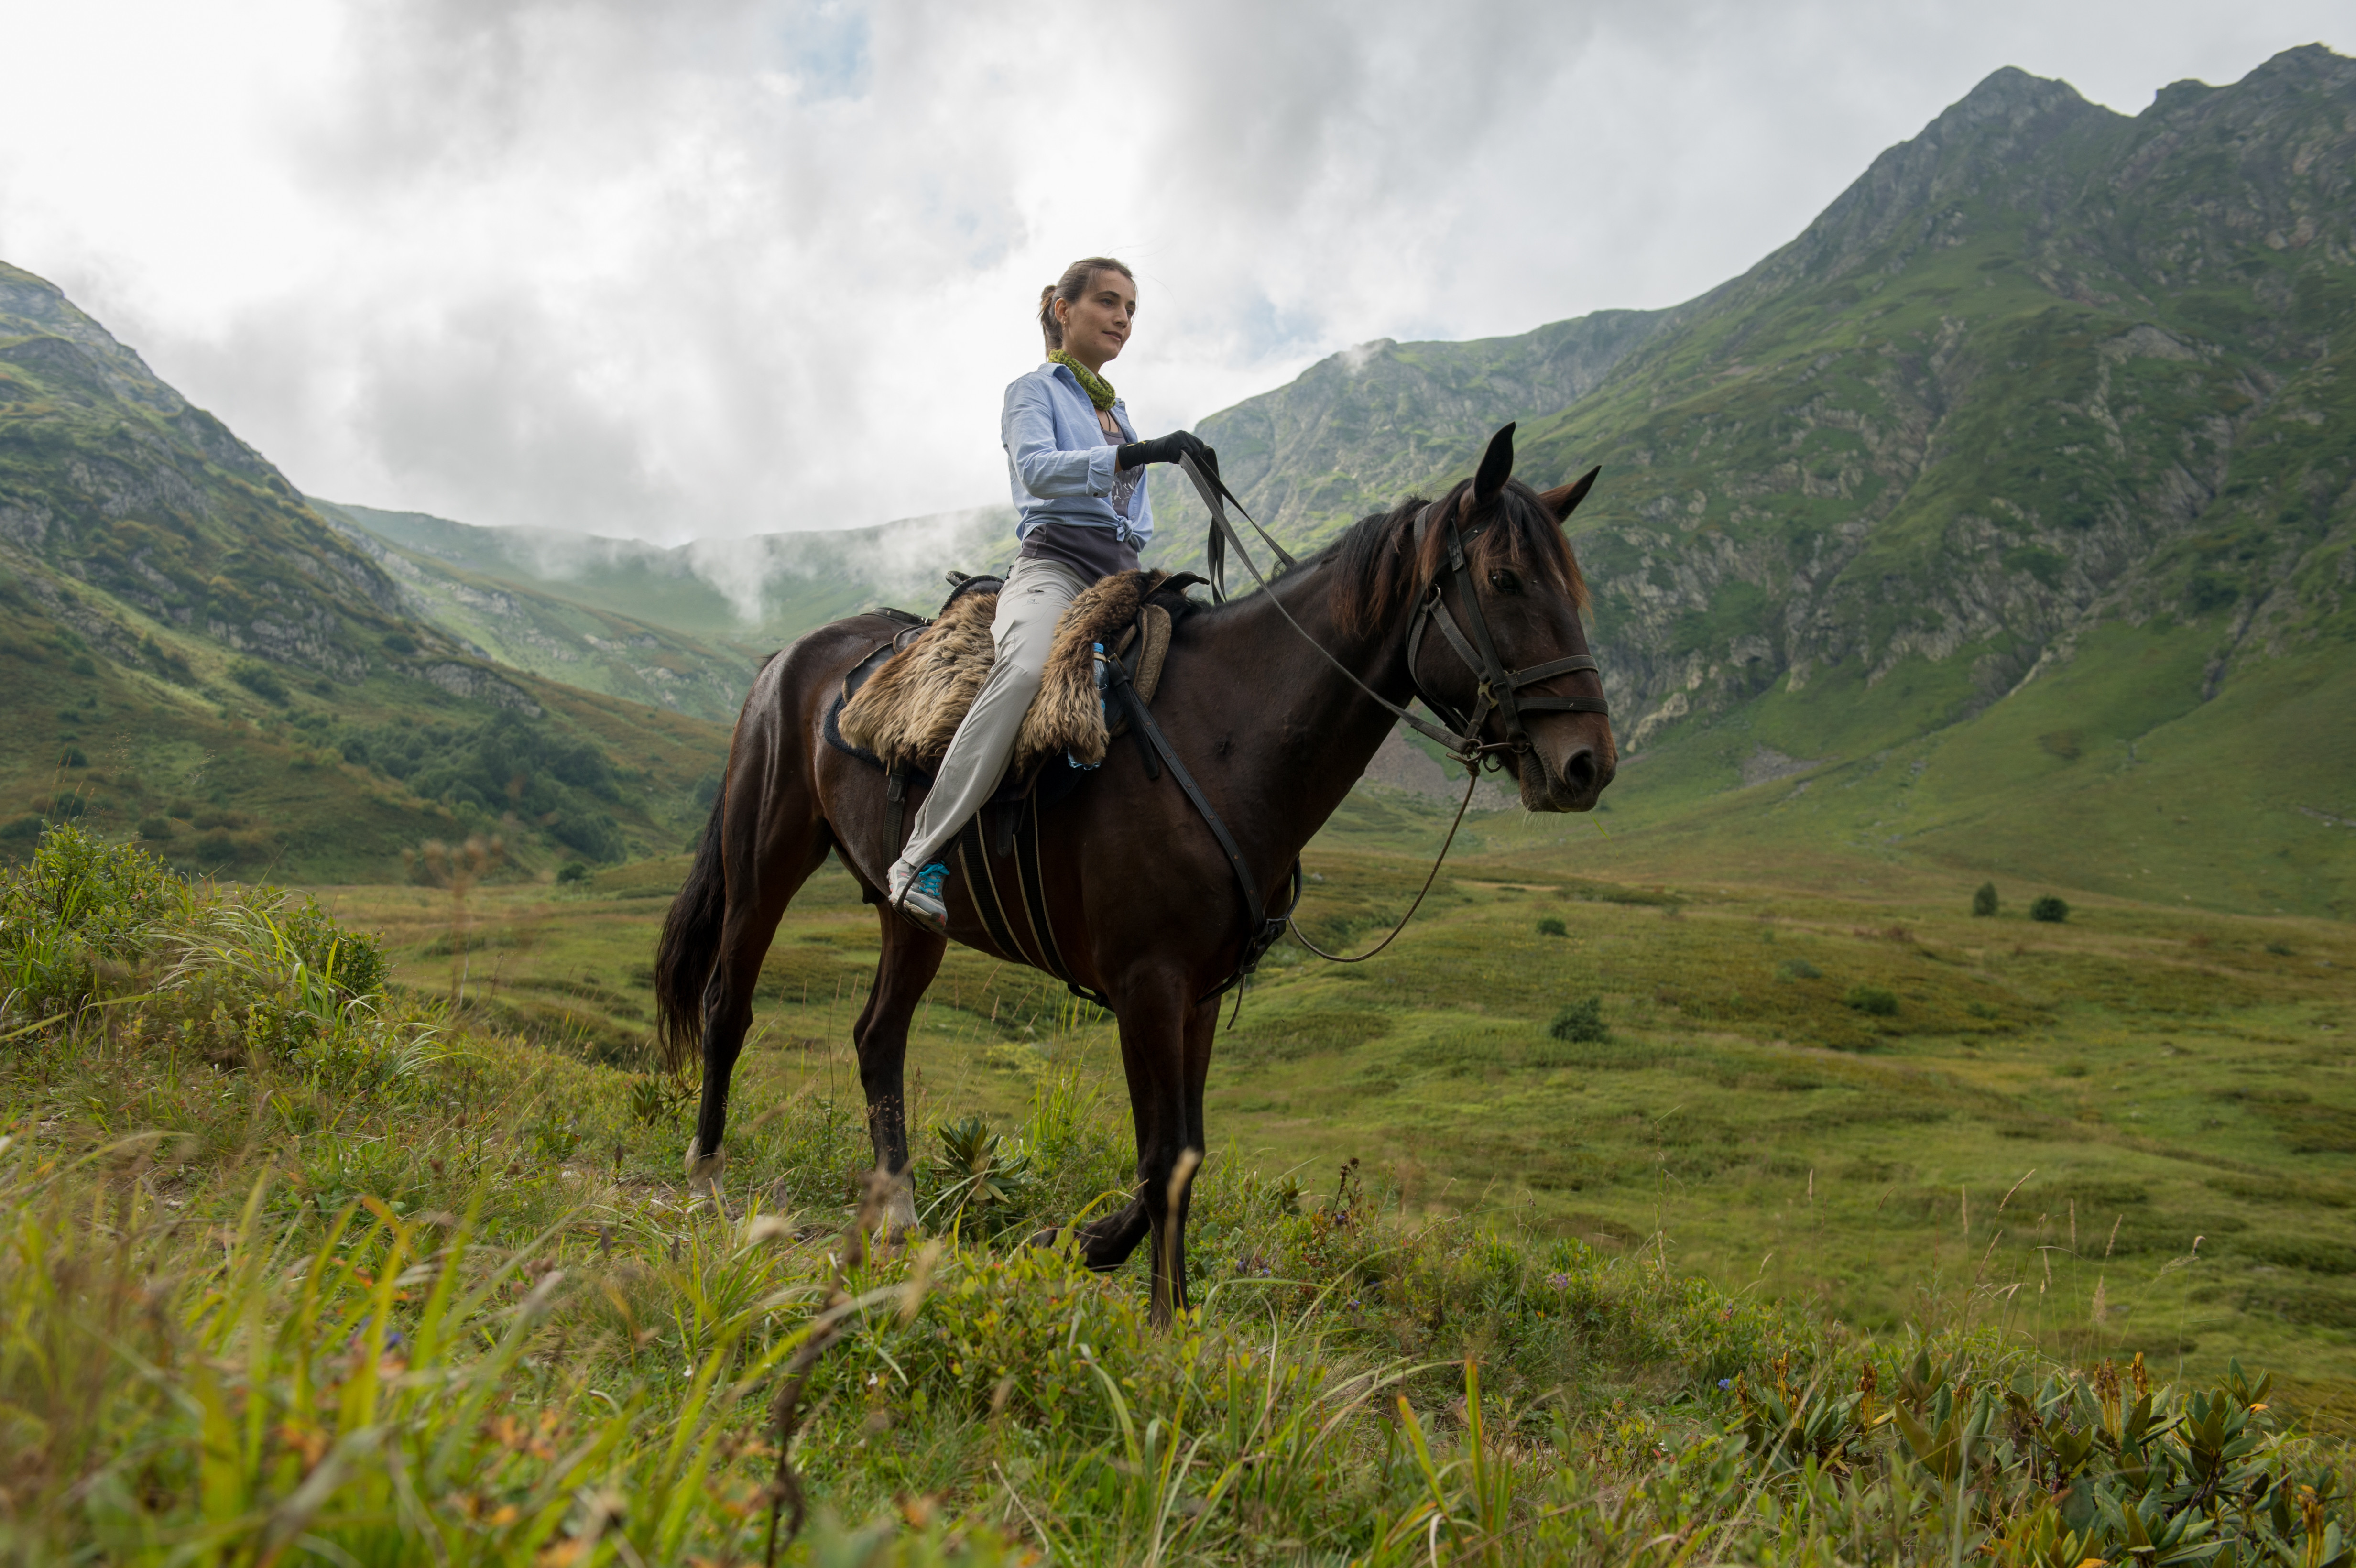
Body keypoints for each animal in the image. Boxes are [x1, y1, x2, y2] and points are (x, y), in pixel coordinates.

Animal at [664, 421, 1621, 1309]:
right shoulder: (1145, 985)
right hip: (764, 866)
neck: (1225, 736)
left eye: (1571, 587)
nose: (1587, 766)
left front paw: (1100, 1256)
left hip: (912, 922)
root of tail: (787, 659)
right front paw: (1158, 1322)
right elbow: (1161, 1157)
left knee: (877, 1035)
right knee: (727, 1006)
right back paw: (707, 1183)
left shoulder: (1199, 993)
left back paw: (897, 1214)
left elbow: (1186, 1152)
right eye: (1503, 581)